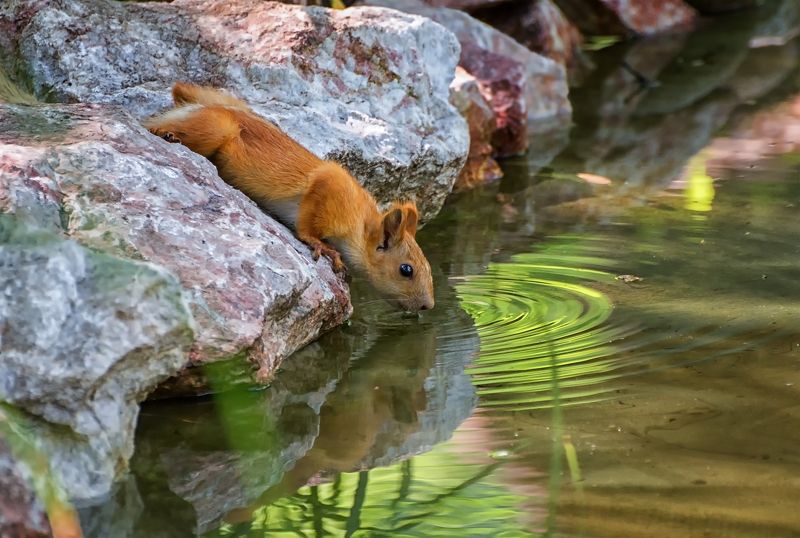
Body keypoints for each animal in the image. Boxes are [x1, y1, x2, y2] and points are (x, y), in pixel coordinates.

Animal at [143, 82, 434, 311]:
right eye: (406, 270)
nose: (427, 306)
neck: (360, 224)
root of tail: (196, 106)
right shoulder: (328, 186)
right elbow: (306, 222)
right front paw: (321, 246)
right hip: (215, 129)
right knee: (154, 126)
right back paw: (164, 133)